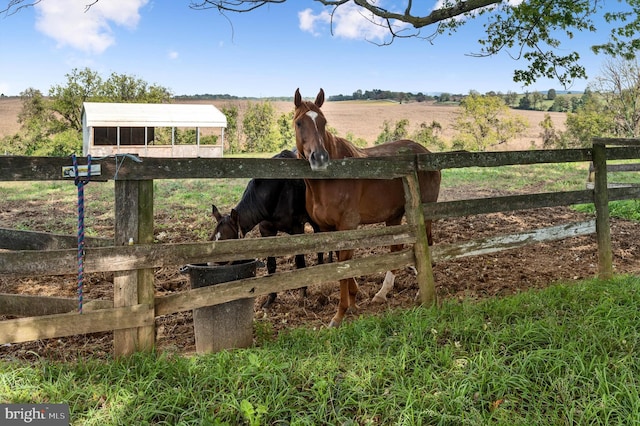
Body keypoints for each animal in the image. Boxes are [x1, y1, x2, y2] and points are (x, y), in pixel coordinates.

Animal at [294, 86, 440, 326]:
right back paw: (382, 293)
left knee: (427, 243)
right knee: (396, 249)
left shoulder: (347, 225)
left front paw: (340, 314)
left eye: (323, 122)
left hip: (424, 213)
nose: (320, 158)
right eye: (299, 123)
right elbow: (342, 263)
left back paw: (420, 292)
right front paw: (353, 299)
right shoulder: (327, 229)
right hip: (394, 216)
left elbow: (344, 265)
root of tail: (425, 152)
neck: (328, 180)